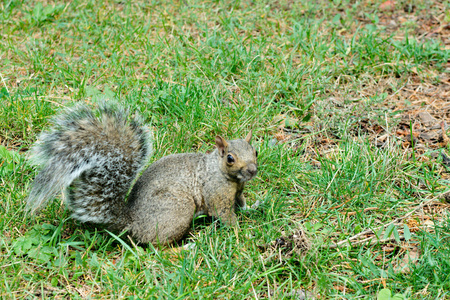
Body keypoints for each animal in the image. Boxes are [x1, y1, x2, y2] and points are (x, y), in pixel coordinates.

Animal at [28, 102, 258, 244]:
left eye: (255, 151)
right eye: (230, 158)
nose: (253, 170)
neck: (226, 175)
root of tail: (132, 222)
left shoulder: (238, 191)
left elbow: (241, 203)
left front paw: (254, 207)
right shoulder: (216, 193)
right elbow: (224, 214)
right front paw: (242, 234)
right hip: (177, 211)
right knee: (157, 247)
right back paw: (184, 248)